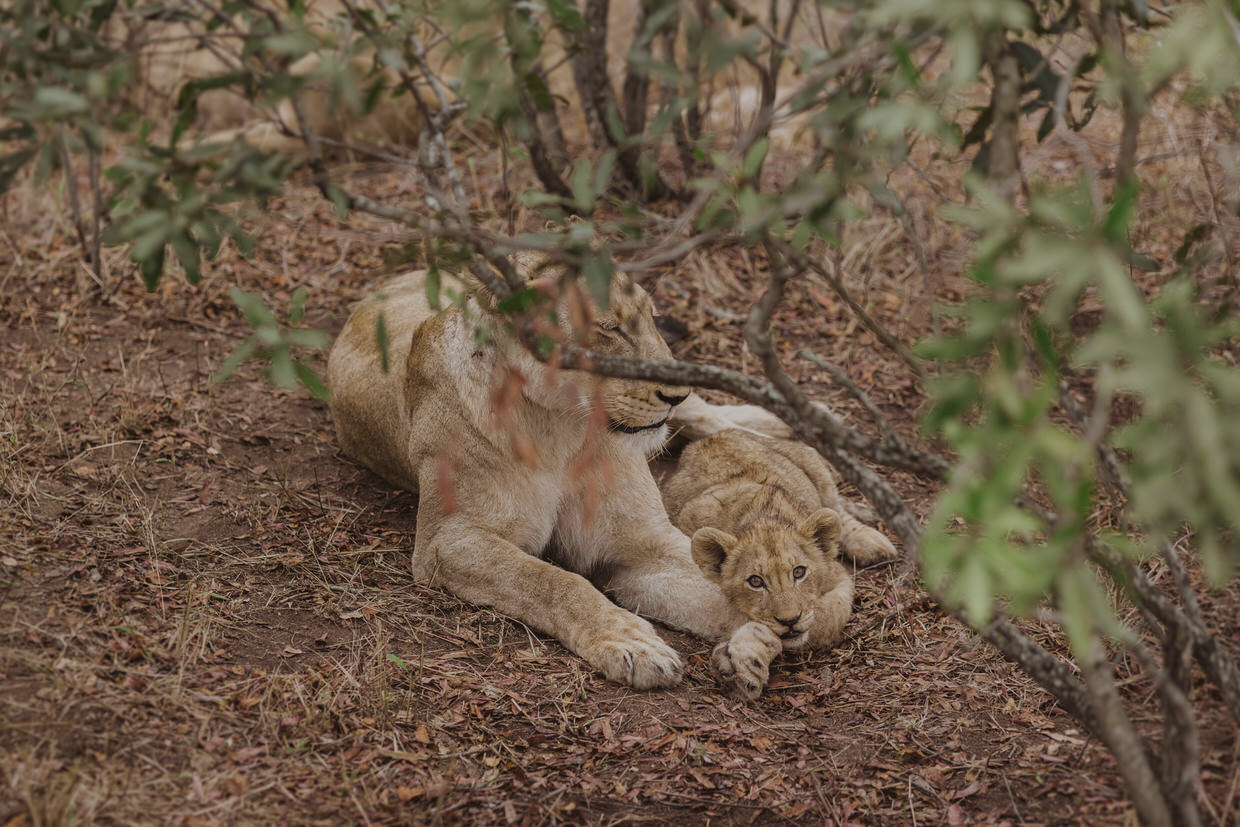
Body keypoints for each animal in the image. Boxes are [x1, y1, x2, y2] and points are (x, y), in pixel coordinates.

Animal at [327, 256, 792, 689]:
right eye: (608, 328)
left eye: (652, 318)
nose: (674, 394)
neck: (562, 426)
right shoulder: (449, 540)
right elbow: (553, 582)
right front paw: (630, 642)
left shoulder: (647, 543)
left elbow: (719, 582)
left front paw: (762, 636)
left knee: (704, 414)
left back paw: (775, 424)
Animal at [663, 429, 898, 698]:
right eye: (755, 581)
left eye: (799, 572)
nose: (790, 621)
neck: (762, 518)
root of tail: (713, 436)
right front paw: (741, 663)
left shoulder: (838, 577)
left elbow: (825, 617)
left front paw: (747, 656)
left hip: (815, 467)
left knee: (837, 509)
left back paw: (872, 543)